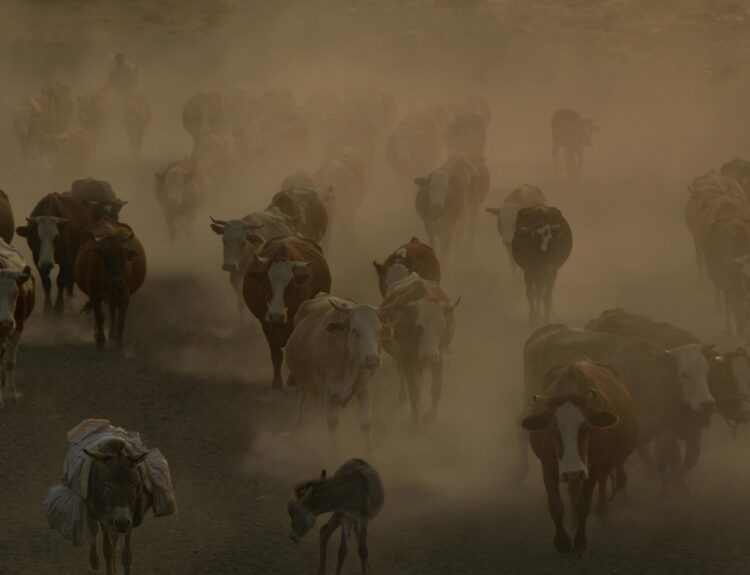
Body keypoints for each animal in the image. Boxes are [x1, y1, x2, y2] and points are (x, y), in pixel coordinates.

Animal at [74, 218, 147, 348]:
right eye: (105, 256)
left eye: (123, 256)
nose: (116, 280)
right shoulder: (94, 295)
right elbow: (99, 317)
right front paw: (100, 340)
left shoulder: (124, 296)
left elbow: (120, 321)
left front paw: (119, 343)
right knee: (108, 312)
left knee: (113, 311)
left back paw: (113, 335)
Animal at [244, 235, 332, 392]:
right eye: (266, 284)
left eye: (291, 286)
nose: (276, 316)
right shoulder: (266, 324)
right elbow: (276, 355)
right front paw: (277, 384)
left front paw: (294, 381)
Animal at [524, 362, 640, 556]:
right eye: (553, 430)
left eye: (586, 428)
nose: (573, 472)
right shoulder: (547, 464)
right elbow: (555, 505)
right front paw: (562, 541)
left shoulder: (594, 464)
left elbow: (584, 504)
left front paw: (580, 542)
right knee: (574, 490)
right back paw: (572, 521)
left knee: (601, 481)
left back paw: (602, 512)